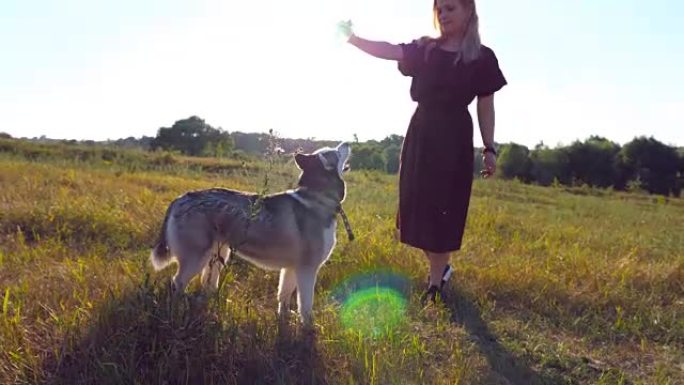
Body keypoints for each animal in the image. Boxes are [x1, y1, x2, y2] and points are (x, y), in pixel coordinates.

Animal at [150, 142, 352, 322]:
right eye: (335, 152)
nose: (347, 143)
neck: (318, 197)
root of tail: (181, 198)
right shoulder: (307, 269)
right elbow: (306, 307)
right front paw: (308, 329)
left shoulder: (291, 268)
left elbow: (283, 297)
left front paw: (284, 320)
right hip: (196, 258)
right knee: (176, 284)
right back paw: (175, 312)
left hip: (218, 256)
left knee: (208, 285)